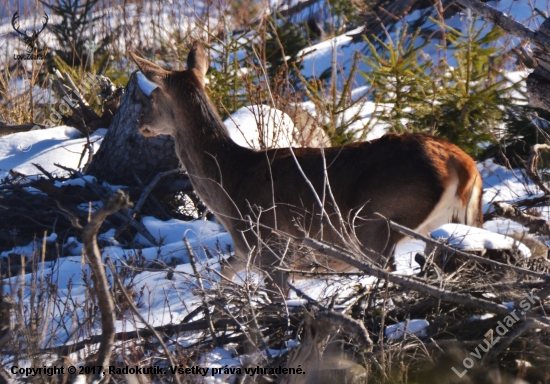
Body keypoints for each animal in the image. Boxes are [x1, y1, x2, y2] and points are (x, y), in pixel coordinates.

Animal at [129, 42, 484, 298]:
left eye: (153, 95)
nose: (139, 122)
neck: (228, 187)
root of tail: (464, 165)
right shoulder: (246, 251)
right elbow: (221, 275)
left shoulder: (271, 248)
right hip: (457, 222)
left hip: (377, 223)